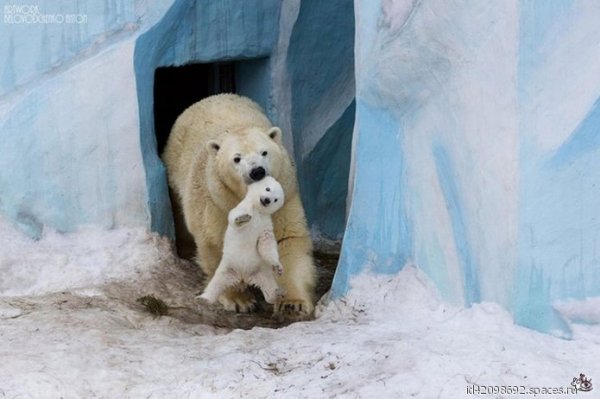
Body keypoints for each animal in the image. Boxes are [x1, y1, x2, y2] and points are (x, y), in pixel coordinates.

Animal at [162, 93, 316, 318]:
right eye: (237, 159)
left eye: (264, 152)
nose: (257, 171)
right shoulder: (217, 202)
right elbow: (217, 243)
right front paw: (239, 300)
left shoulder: (285, 196)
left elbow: (286, 238)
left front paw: (292, 303)